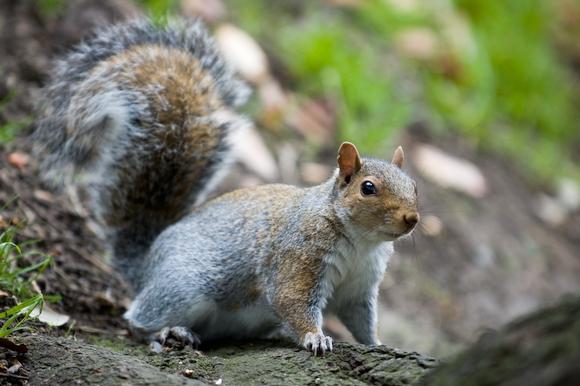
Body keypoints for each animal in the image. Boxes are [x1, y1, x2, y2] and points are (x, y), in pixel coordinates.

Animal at [34, 18, 420, 356]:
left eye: (415, 187)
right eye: (368, 188)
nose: (412, 219)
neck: (360, 242)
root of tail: (145, 265)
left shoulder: (360, 287)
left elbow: (361, 321)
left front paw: (379, 344)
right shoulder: (299, 257)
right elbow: (292, 300)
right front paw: (315, 337)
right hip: (184, 287)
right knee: (137, 318)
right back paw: (166, 331)